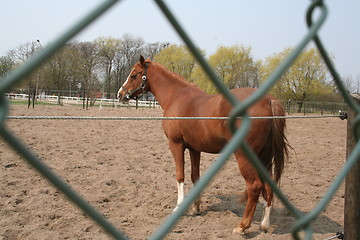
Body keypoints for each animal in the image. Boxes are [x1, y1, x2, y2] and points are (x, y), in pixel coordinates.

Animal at [118, 55, 290, 233]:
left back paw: (242, 226)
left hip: (244, 155)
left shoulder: (176, 144)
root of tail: (268, 100)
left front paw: (179, 207)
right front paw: (196, 208)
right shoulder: (195, 149)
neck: (175, 96)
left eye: (134, 75)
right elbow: (195, 177)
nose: (120, 94)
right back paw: (264, 224)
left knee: (254, 187)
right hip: (263, 156)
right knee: (268, 186)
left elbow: (180, 175)